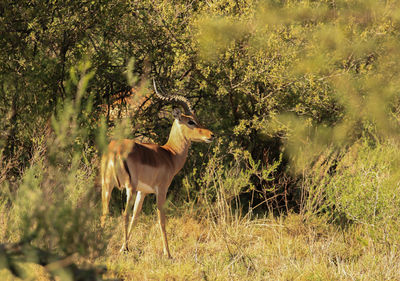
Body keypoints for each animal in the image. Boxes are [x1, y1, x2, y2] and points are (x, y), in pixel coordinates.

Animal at [100, 78, 214, 256]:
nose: (211, 135)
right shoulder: (161, 190)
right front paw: (168, 253)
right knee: (123, 214)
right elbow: (161, 220)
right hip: (129, 187)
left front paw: (123, 246)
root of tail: (115, 150)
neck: (170, 154)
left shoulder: (143, 192)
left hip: (107, 185)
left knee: (104, 214)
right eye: (190, 121)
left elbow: (136, 217)